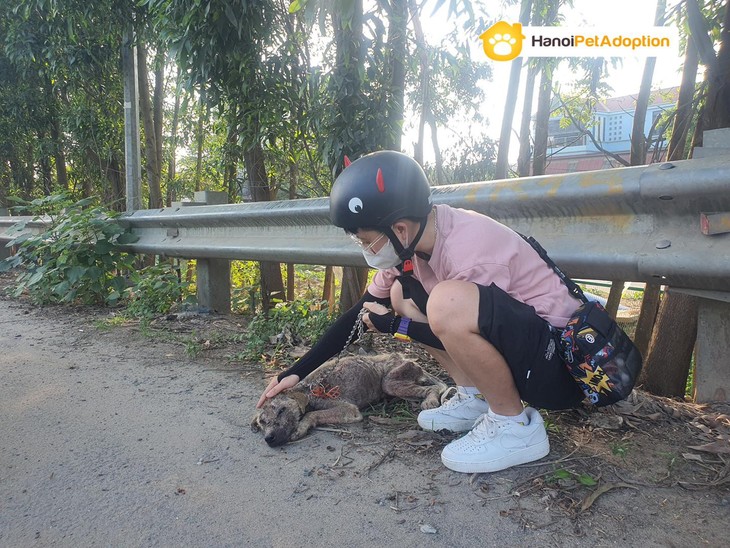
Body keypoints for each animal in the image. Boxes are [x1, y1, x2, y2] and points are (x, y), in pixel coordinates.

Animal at [250, 354, 444, 448]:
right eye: (262, 422)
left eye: (281, 410)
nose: (269, 438)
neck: (307, 390)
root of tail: (404, 357)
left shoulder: (348, 409)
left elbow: (312, 414)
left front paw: (301, 427)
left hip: (390, 382)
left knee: (433, 388)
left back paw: (430, 400)